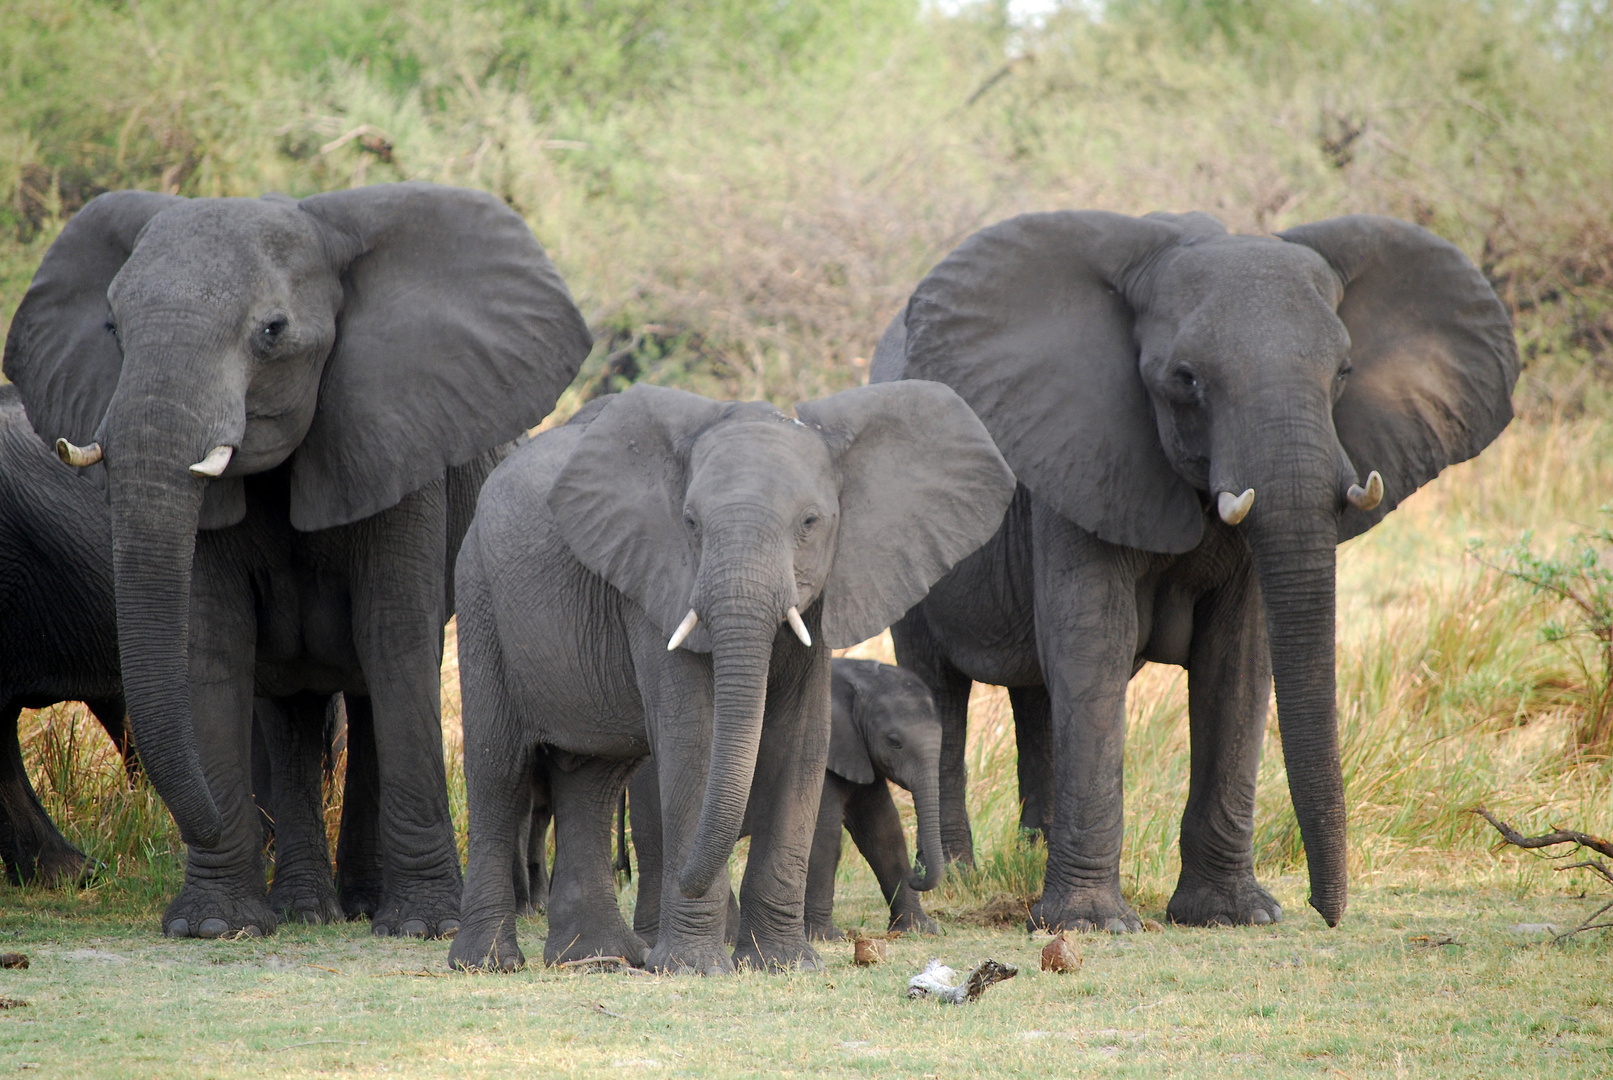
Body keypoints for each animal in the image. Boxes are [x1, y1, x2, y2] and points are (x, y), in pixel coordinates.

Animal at [0, 179, 593, 941]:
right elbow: (220, 645)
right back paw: (308, 909)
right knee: (290, 699)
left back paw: (365, 905)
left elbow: (395, 640)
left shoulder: (397, 444)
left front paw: (422, 927)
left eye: (272, 332)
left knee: (368, 690)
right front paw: (214, 926)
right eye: (113, 331)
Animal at [806, 654, 941, 941]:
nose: (917, 873)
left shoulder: (858, 753)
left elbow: (883, 831)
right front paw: (826, 937)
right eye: (894, 742)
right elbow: (823, 834)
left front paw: (920, 929)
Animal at [871, 209, 1509, 928]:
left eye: (1344, 371)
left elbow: (1237, 660)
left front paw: (1235, 915)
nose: (1326, 912)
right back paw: (956, 878)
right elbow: (1094, 645)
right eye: (1186, 379)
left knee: (1037, 695)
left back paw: (1029, 856)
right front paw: (1089, 925)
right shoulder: (1080, 456)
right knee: (939, 688)